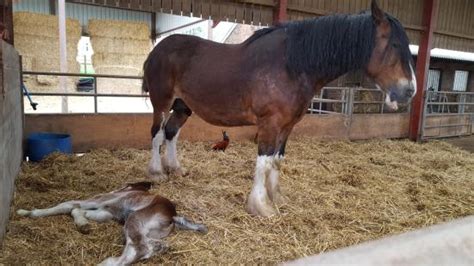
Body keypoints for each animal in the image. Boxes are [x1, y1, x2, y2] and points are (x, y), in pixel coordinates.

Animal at [17, 181, 206, 264]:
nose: (119, 188)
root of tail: (172, 216)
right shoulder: (107, 212)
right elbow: (78, 211)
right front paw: (83, 225)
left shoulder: (102, 201)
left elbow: (70, 204)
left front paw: (28, 212)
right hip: (144, 229)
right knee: (147, 247)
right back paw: (162, 248)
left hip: (134, 219)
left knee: (138, 249)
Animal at [141, 1, 414, 216]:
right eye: (394, 45)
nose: (409, 91)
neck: (290, 66)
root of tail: (158, 49)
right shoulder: (269, 123)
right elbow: (263, 161)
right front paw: (261, 206)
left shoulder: (287, 125)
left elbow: (276, 160)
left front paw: (277, 197)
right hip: (162, 102)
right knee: (156, 133)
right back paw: (156, 172)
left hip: (183, 107)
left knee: (171, 133)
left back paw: (175, 169)